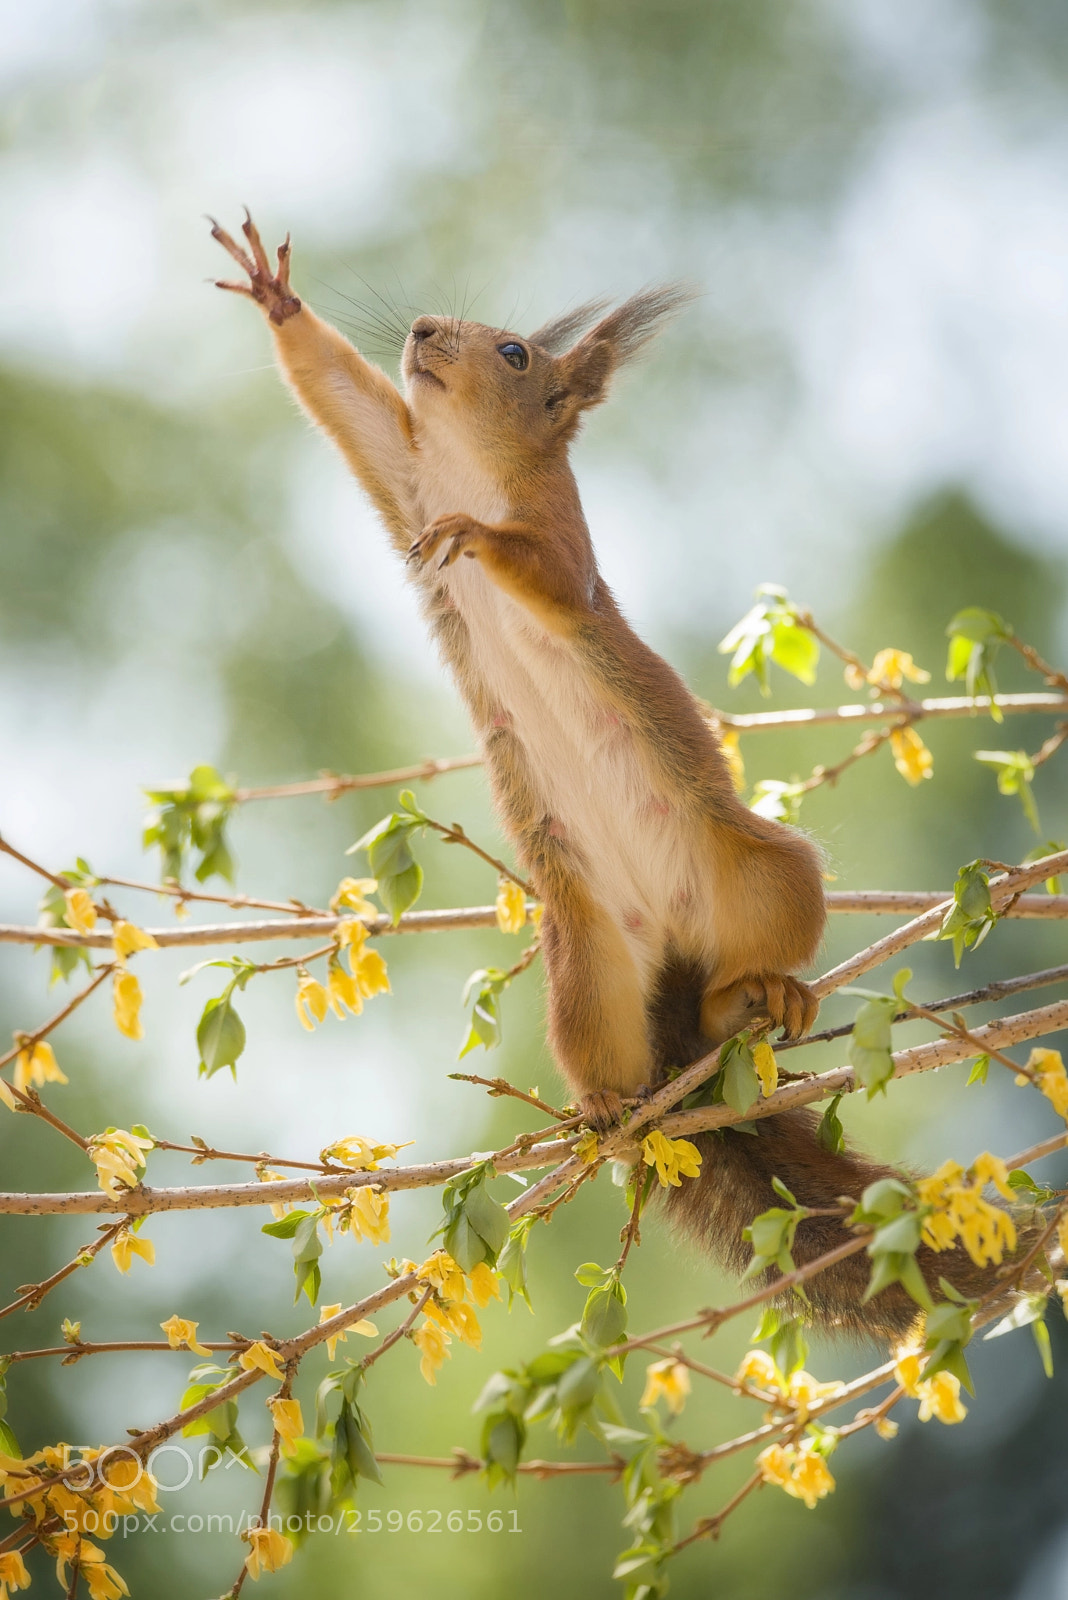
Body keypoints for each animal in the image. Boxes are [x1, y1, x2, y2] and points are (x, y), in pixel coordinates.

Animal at [210, 212, 1011, 1341]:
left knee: (747, 966)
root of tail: (677, 962)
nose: (421, 331)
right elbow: (338, 393)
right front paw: (277, 298)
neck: (465, 467)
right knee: (629, 1056)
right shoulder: (400, 474)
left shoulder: (564, 546)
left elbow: (542, 574)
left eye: (514, 353)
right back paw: (609, 1108)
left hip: (766, 871)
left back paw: (765, 992)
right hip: (589, 961)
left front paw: (479, 539)